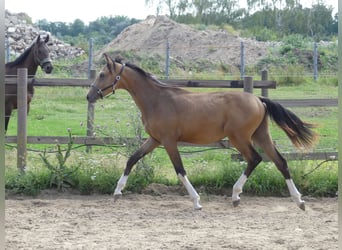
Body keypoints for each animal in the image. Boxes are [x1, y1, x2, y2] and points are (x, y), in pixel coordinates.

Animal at [86, 54, 318, 211]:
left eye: (102, 74)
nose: (89, 96)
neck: (157, 100)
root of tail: (259, 99)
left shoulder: (169, 141)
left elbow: (180, 170)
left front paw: (196, 201)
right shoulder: (154, 140)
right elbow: (132, 159)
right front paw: (117, 193)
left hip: (239, 138)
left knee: (255, 159)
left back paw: (236, 196)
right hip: (260, 135)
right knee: (280, 162)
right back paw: (299, 201)